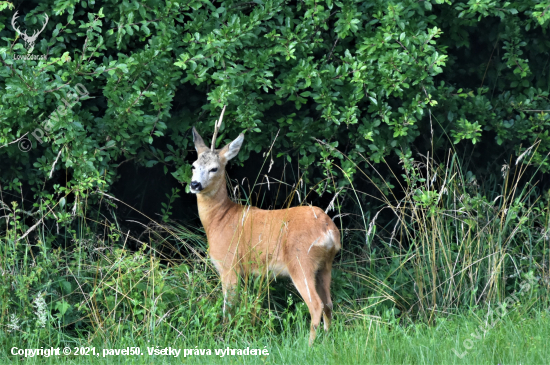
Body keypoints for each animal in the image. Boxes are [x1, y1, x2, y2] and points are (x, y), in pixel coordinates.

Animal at [192, 118, 342, 344]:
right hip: (325, 264)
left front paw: (224, 335)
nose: (194, 184)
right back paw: (326, 340)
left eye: (214, 168)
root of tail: (329, 229)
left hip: (301, 261)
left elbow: (229, 307)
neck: (219, 220)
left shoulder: (230, 265)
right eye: (193, 166)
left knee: (316, 305)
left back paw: (309, 345)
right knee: (329, 304)